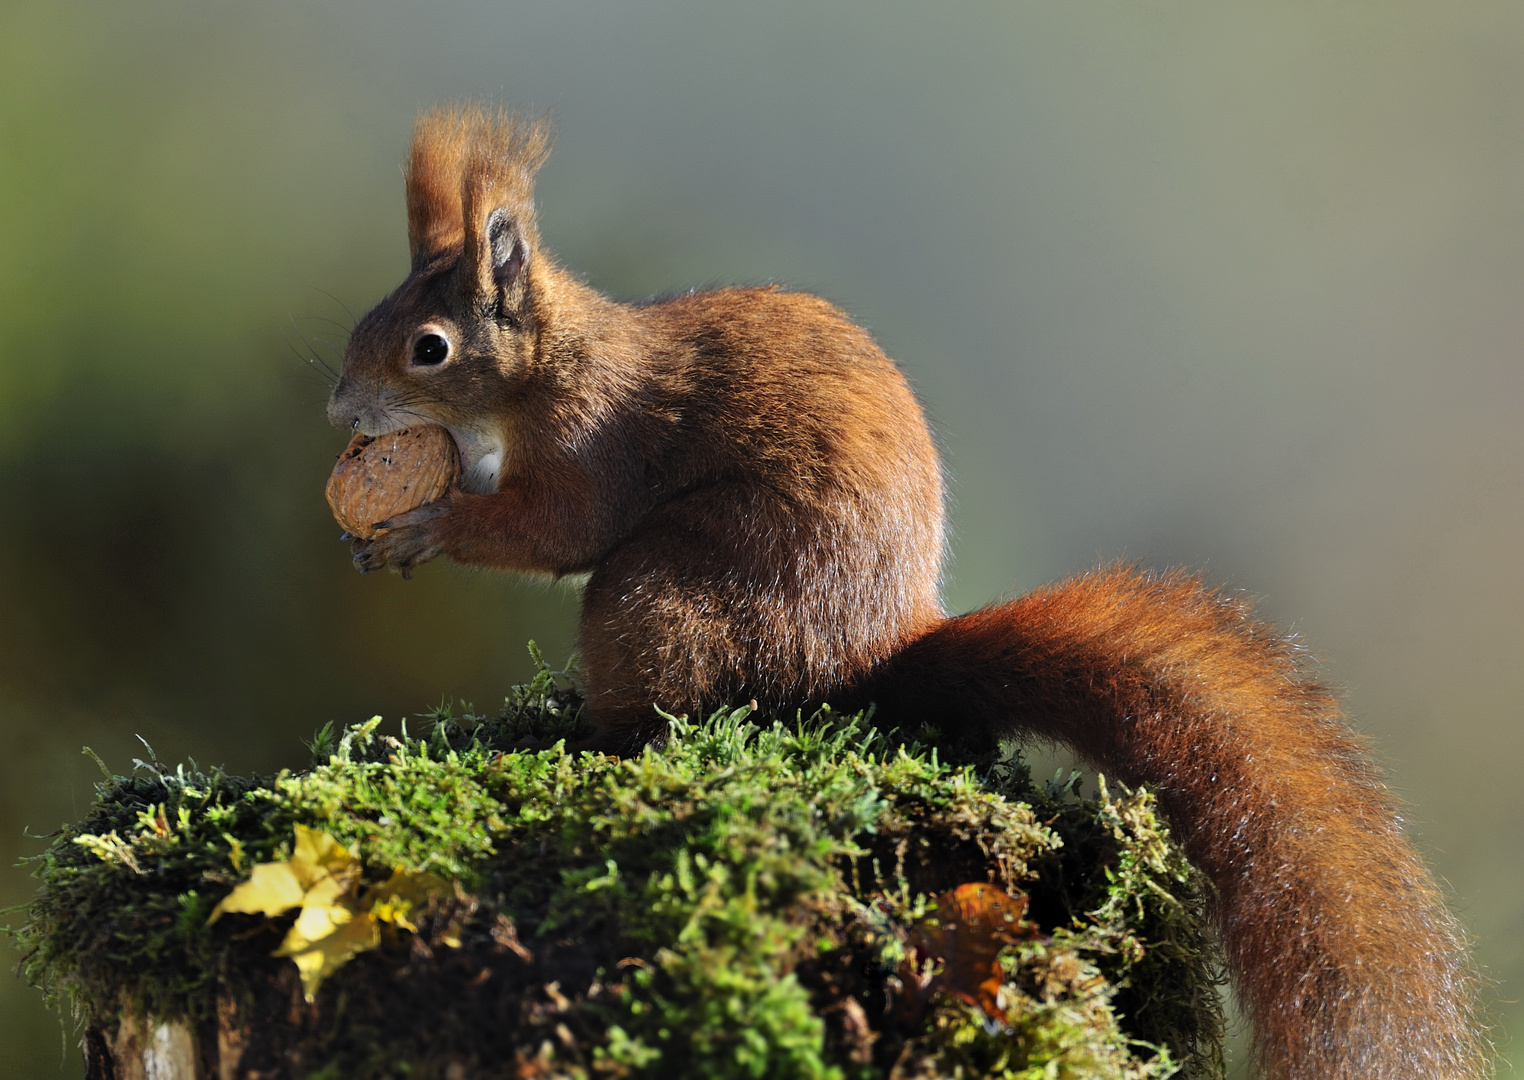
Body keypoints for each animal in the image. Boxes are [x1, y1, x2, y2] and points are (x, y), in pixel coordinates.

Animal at [327, 107, 1481, 1078]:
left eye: (428, 348)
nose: (338, 405)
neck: (548, 367)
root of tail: (868, 655)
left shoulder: (594, 442)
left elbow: (555, 530)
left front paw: (427, 525)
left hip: (662, 592)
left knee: (668, 701)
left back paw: (586, 738)